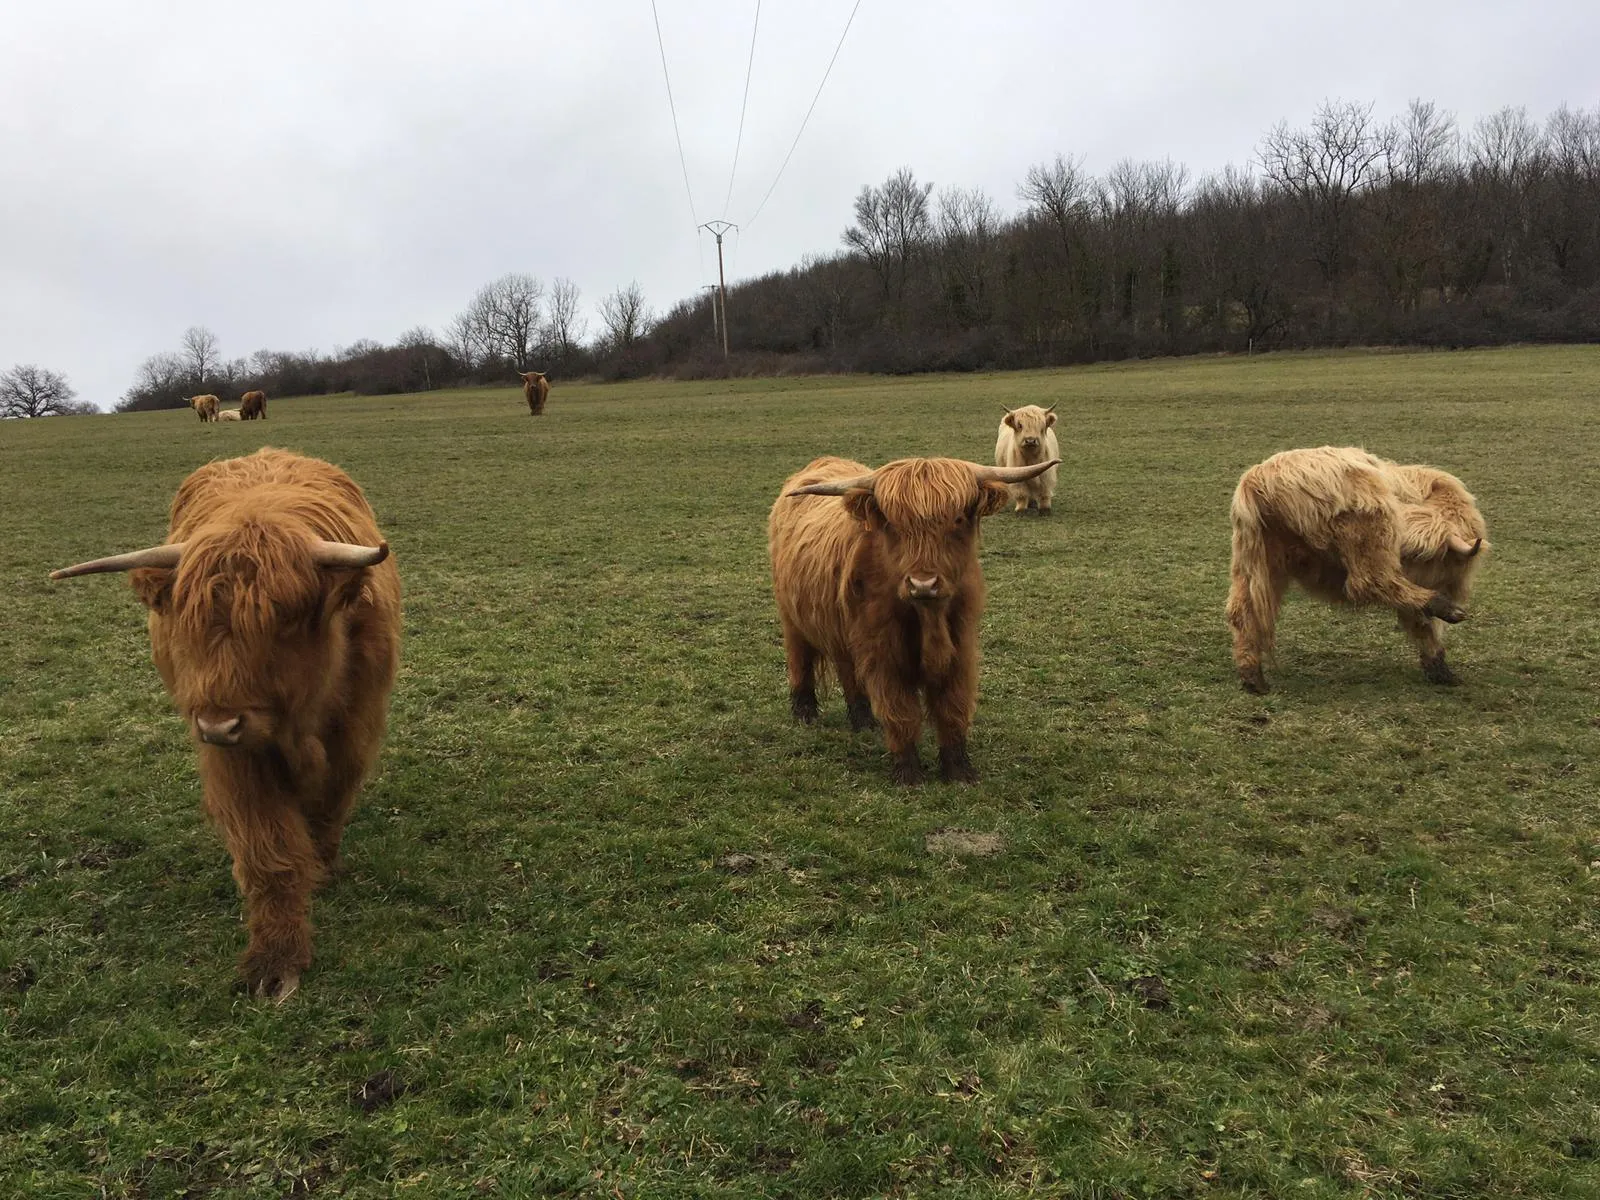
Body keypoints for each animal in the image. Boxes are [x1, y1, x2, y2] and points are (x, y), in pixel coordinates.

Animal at [51, 448, 401, 1002]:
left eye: (283, 619)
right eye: (187, 622)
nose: (218, 723)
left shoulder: (353, 730)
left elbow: (328, 807)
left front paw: (322, 867)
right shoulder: (236, 754)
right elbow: (267, 848)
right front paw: (275, 959)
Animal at [769, 454, 1059, 785]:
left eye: (958, 519)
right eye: (893, 524)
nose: (923, 584)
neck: (928, 620)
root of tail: (822, 462)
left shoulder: (961, 648)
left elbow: (953, 706)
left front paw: (959, 770)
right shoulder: (883, 652)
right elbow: (900, 710)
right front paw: (908, 772)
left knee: (847, 669)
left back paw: (863, 719)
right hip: (792, 618)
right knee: (800, 660)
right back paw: (804, 712)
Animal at [1226, 445, 1488, 694]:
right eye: (1417, 555)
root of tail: (1256, 479)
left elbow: (1421, 625)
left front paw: (1440, 670)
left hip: (1257, 560)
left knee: (1243, 611)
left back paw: (1253, 678)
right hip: (1365, 522)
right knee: (1369, 582)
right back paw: (1447, 608)